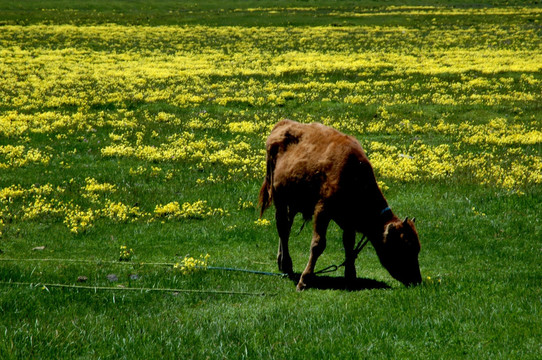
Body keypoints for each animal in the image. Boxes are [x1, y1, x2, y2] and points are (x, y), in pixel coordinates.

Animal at [262, 119, 422, 292]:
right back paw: (287, 265)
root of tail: (282, 124)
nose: (417, 280)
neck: (353, 174)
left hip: (291, 202)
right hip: (279, 197)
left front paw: (351, 277)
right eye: (404, 247)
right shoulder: (322, 211)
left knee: (286, 227)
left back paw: (282, 263)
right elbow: (318, 244)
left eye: (417, 248)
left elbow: (349, 244)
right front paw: (304, 281)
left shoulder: (349, 220)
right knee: (283, 228)